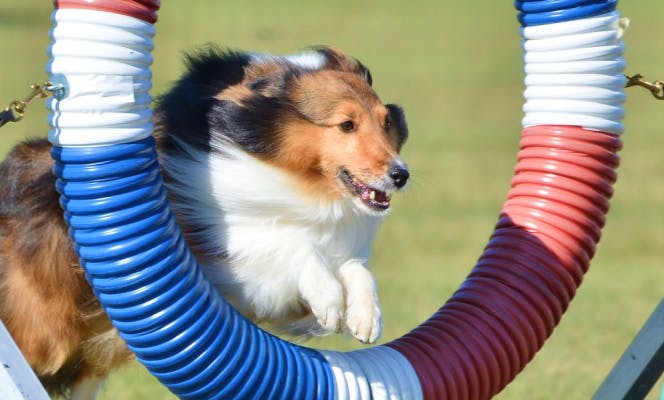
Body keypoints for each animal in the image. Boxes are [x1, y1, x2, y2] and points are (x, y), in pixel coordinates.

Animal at [0, 46, 408, 396]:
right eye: (346, 125)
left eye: (386, 122)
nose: (401, 174)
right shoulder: (220, 249)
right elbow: (287, 245)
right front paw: (330, 300)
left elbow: (354, 268)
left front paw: (365, 315)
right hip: (45, 334)